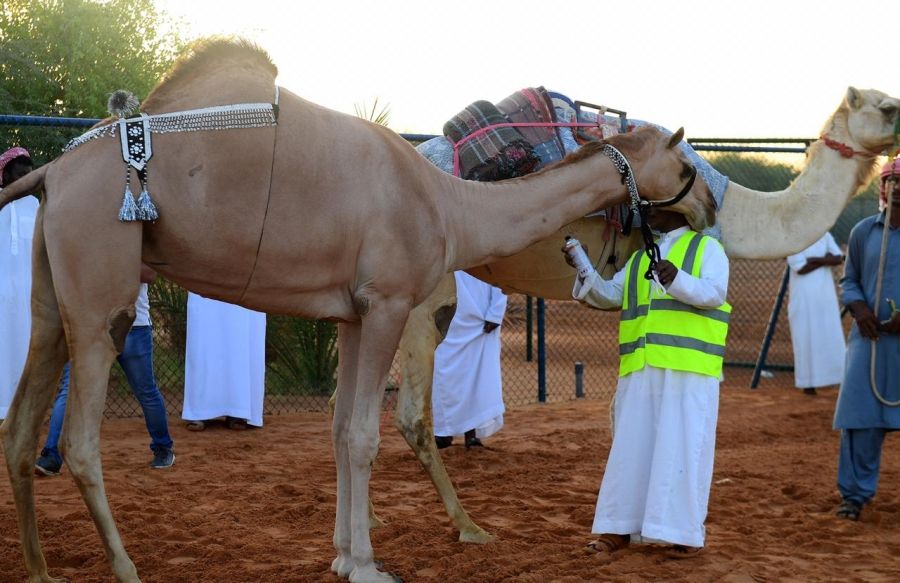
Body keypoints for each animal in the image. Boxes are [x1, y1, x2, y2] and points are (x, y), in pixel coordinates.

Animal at [0, 40, 716, 583]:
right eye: (684, 159)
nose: (709, 204)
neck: (450, 206)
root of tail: (50, 175)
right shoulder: (390, 302)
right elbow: (367, 434)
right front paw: (371, 565)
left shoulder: (349, 314)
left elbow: (342, 429)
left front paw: (345, 555)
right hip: (101, 294)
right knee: (79, 441)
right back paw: (125, 569)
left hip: (51, 300)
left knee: (19, 427)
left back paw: (39, 571)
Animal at [388, 88, 900, 548]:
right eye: (887, 107)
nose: (708, 209)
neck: (737, 209)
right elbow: (623, 404)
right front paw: (629, 526)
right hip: (425, 292)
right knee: (409, 414)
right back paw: (468, 528)